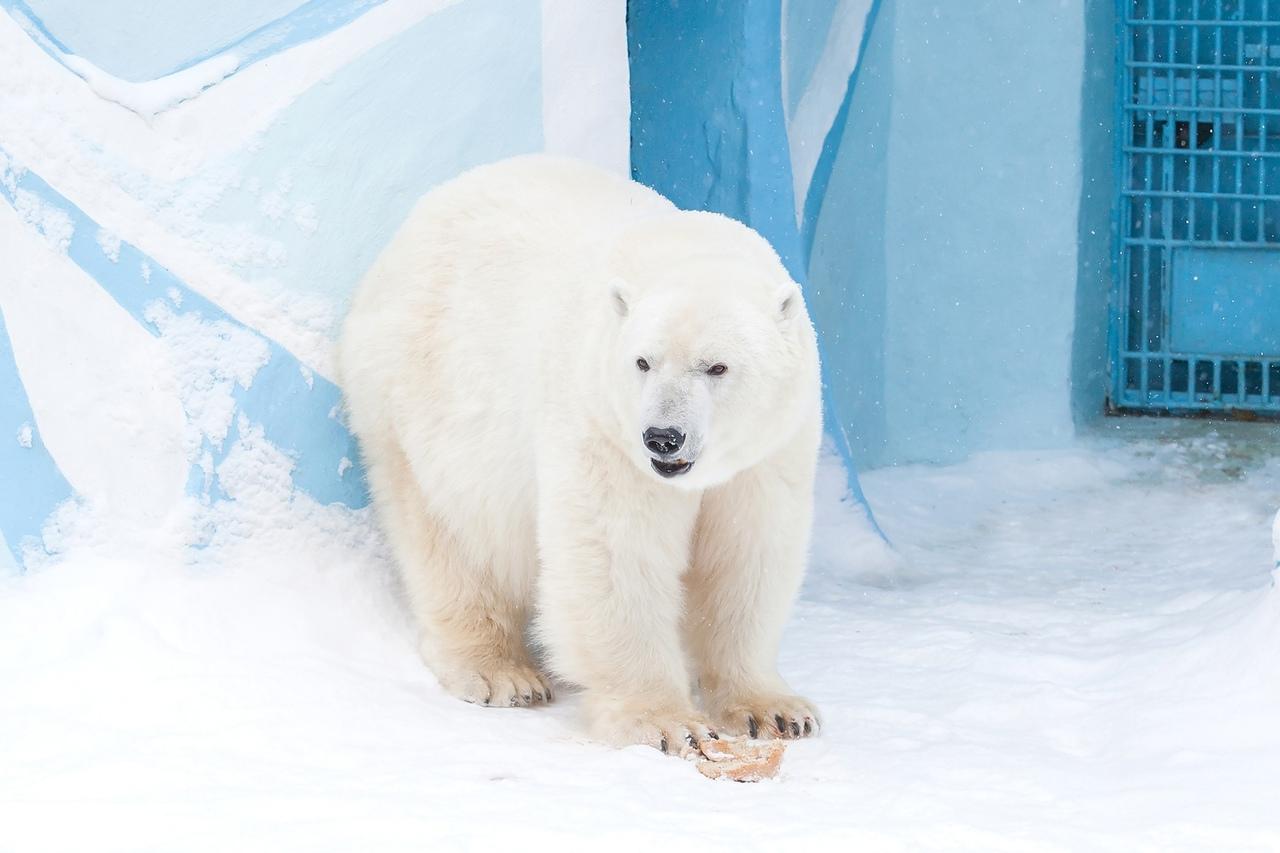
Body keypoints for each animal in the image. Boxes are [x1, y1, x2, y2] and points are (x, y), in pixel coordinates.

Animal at [337, 156, 819, 747]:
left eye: (717, 366)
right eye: (643, 361)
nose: (663, 436)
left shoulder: (770, 450)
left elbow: (748, 554)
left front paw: (772, 710)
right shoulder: (601, 423)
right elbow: (614, 551)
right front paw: (665, 722)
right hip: (421, 404)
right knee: (452, 535)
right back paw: (503, 673)